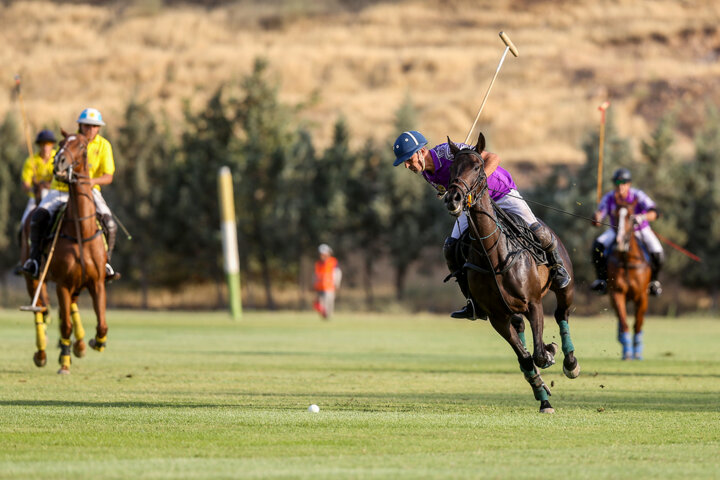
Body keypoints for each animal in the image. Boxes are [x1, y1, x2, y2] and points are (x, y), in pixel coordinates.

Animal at [21, 131, 108, 376]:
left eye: (82, 146)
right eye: (61, 144)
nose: (58, 162)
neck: (81, 229)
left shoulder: (97, 281)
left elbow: (102, 323)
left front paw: (95, 342)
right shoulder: (62, 283)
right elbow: (65, 324)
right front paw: (65, 364)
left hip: (77, 284)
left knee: (65, 310)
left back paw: (77, 346)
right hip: (33, 278)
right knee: (39, 311)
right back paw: (42, 354)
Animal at [442, 134, 584, 412]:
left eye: (478, 167)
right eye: (451, 169)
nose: (453, 198)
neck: (493, 253)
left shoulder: (534, 304)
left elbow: (539, 353)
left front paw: (551, 351)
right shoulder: (497, 317)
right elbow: (527, 358)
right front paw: (544, 399)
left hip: (564, 287)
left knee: (562, 313)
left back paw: (570, 363)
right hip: (511, 312)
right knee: (523, 339)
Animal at [608, 197, 652, 358]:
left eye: (630, 217)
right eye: (614, 214)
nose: (620, 241)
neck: (627, 259)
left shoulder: (642, 296)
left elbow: (638, 323)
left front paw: (637, 351)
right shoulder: (617, 293)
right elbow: (624, 321)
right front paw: (627, 351)